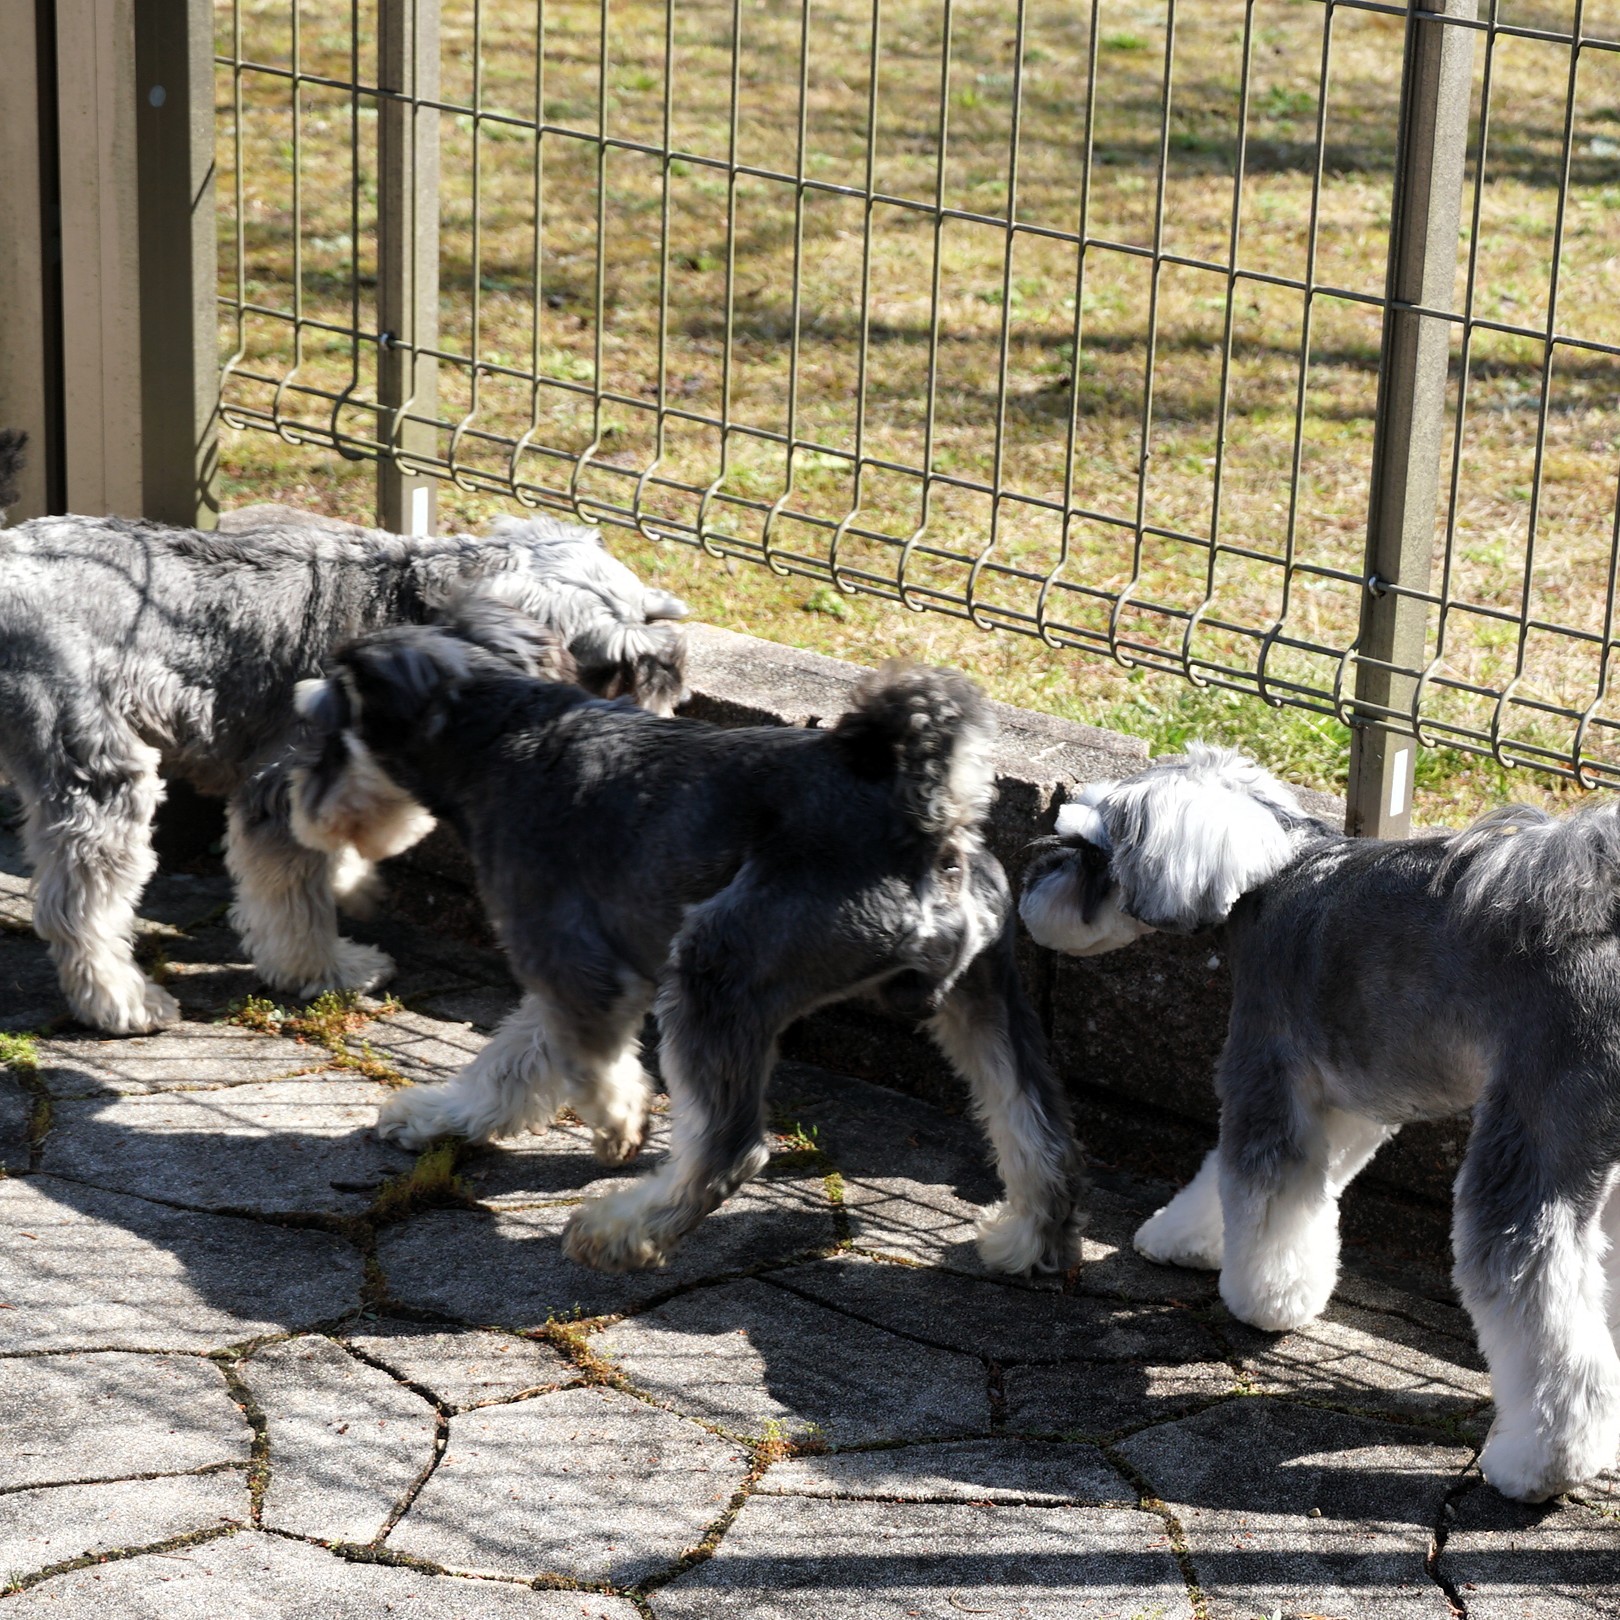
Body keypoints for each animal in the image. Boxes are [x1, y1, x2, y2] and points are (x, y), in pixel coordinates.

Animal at [0, 431, 688, 1035]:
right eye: (618, 665)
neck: (413, 613)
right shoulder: (284, 786)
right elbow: (295, 900)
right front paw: (329, 969)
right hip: (97, 768)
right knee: (79, 907)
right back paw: (123, 1004)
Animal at [288, 614, 1088, 1277]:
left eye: (322, 737)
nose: (299, 809)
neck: (501, 737)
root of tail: (924, 817)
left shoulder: (577, 964)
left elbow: (586, 1064)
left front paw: (619, 1122)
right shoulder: (583, 968)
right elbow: (513, 1059)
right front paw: (440, 1117)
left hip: (716, 969)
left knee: (730, 1147)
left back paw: (620, 1230)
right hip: (985, 999)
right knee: (1036, 1130)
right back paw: (1025, 1241)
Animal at [1018, 742, 1620, 1501]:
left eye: (1089, 849)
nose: (1028, 891)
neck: (1270, 870)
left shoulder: (1265, 1070)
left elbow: (1263, 1192)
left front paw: (1264, 1300)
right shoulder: (1348, 1102)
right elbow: (1248, 1180)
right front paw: (1185, 1237)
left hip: (1536, 1137)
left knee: (1537, 1298)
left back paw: (1539, 1462)